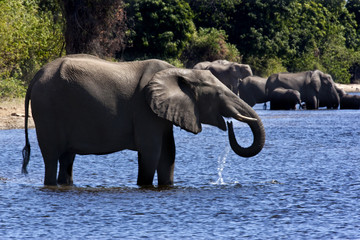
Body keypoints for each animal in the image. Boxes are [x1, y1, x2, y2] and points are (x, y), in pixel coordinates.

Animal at [21, 54, 264, 186]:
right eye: (218, 94)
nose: (231, 124)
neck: (180, 72)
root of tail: (36, 76)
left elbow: (168, 154)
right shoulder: (145, 111)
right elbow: (151, 153)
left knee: (67, 160)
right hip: (48, 109)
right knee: (52, 158)